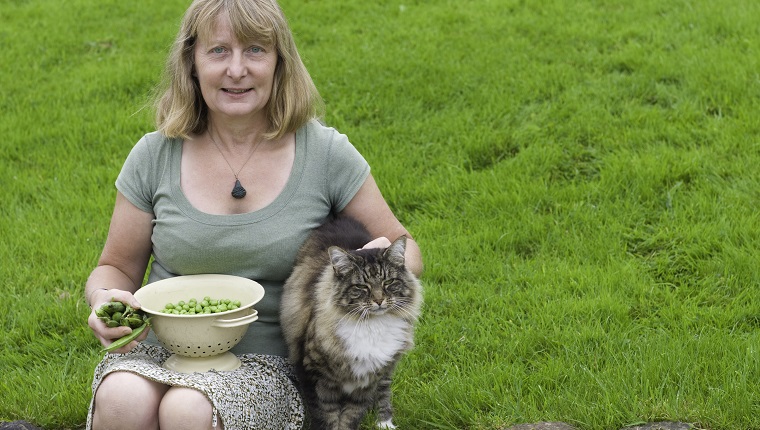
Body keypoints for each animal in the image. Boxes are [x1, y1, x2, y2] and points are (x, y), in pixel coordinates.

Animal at [280, 217, 424, 428]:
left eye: (388, 283)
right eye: (362, 287)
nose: (379, 300)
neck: (372, 326)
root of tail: (338, 220)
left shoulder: (367, 382)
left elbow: (350, 417)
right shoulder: (314, 376)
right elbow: (327, 418)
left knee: (384, 391)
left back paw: (385, 423)